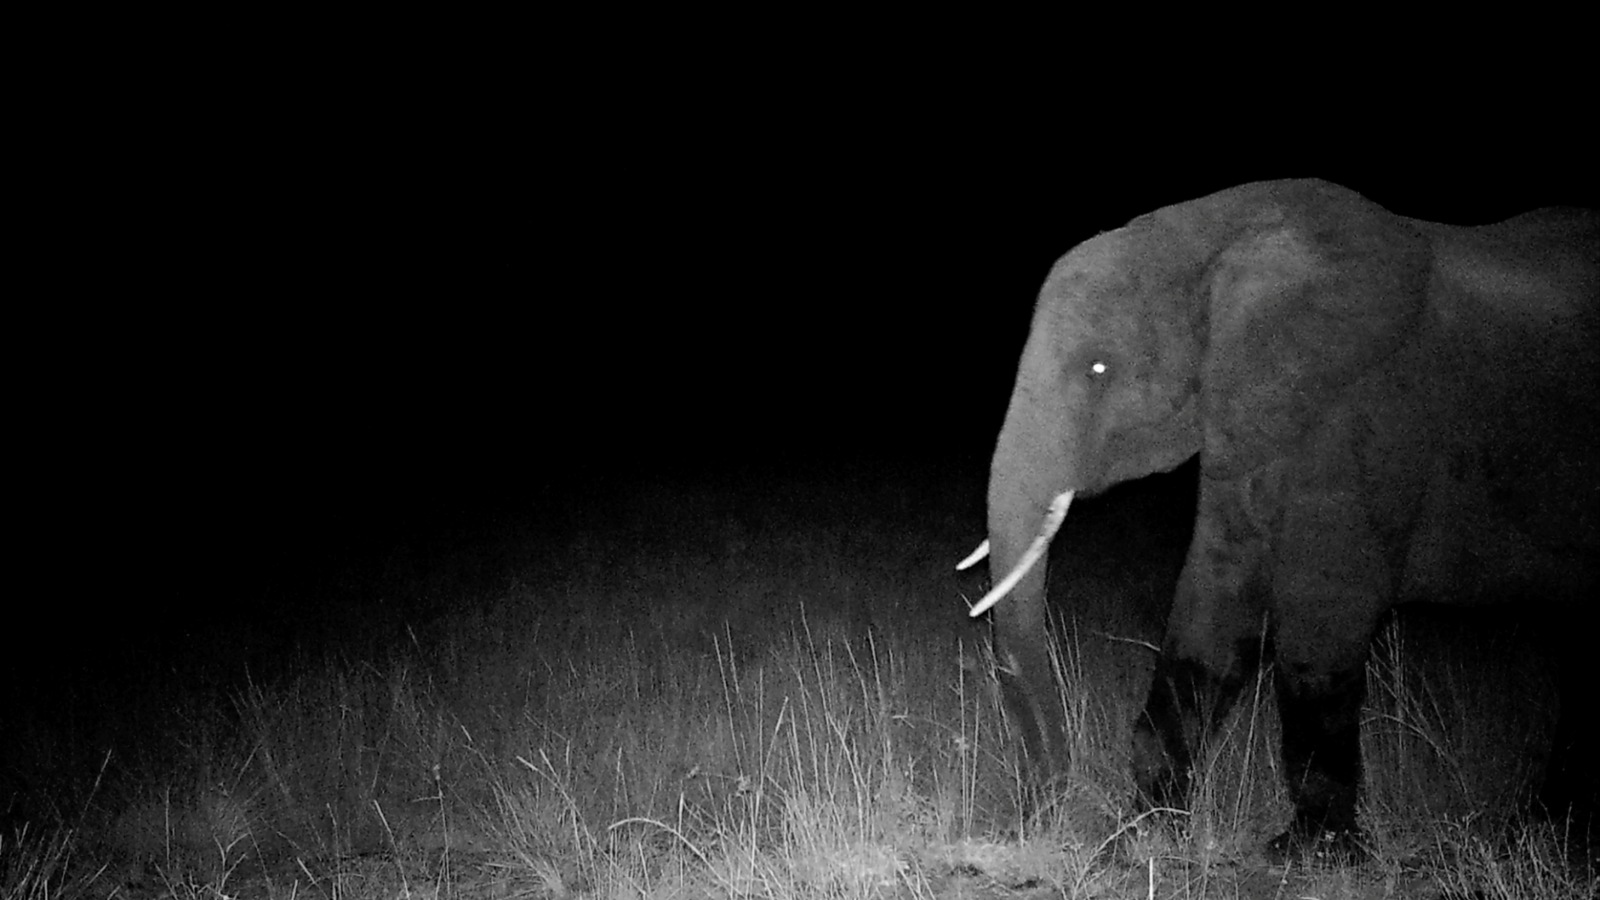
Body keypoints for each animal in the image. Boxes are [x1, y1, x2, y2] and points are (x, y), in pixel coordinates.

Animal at [961, 179, 1598, 859]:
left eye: (1099, 369)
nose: (1048, 810)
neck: (1213, 237)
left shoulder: (1362, 415)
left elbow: (1322, 622)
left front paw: (1309, 852)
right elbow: (1214, 606)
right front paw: (1148, 830)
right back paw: (1547, 829)